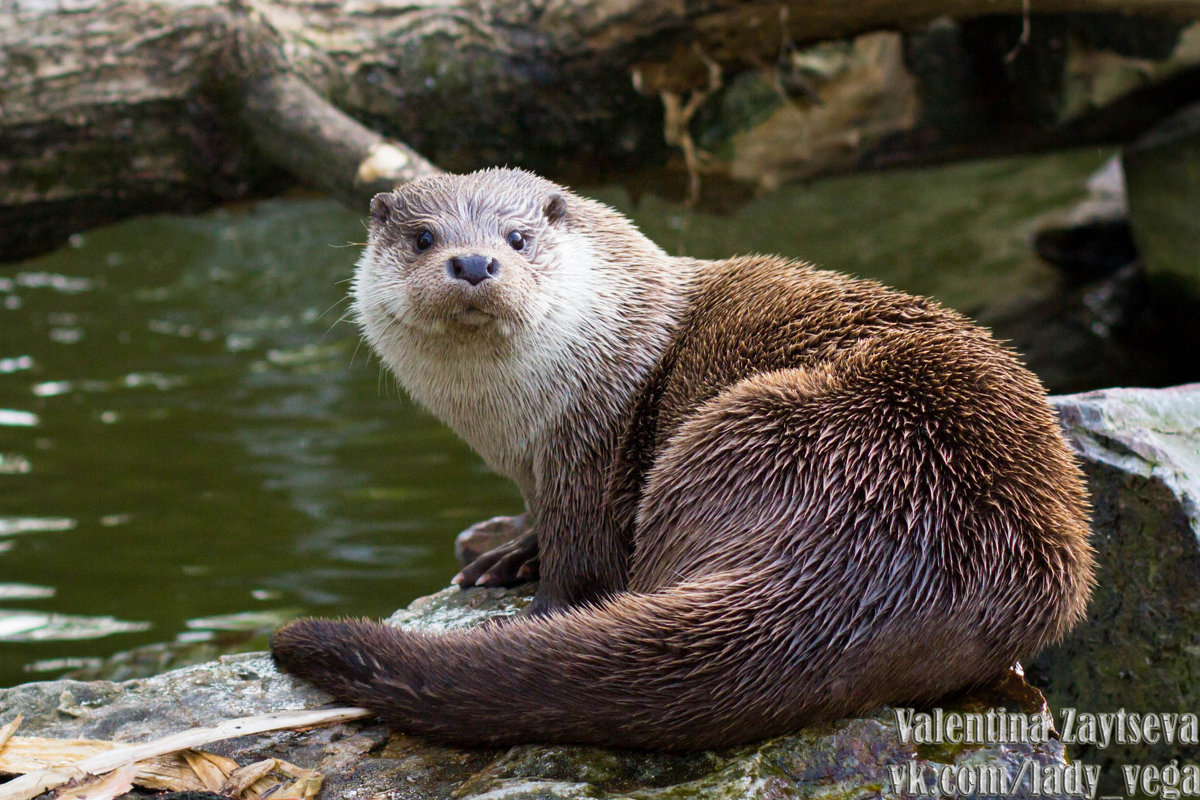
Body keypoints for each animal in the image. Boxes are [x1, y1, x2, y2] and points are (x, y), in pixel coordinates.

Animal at [272, 167, 1099, 753]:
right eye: (421, 238)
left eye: (516, 238)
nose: (472, 262)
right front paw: (505, 552)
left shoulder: (589, 452)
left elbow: (581, 556)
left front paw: (532, 592)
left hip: (756, 426)